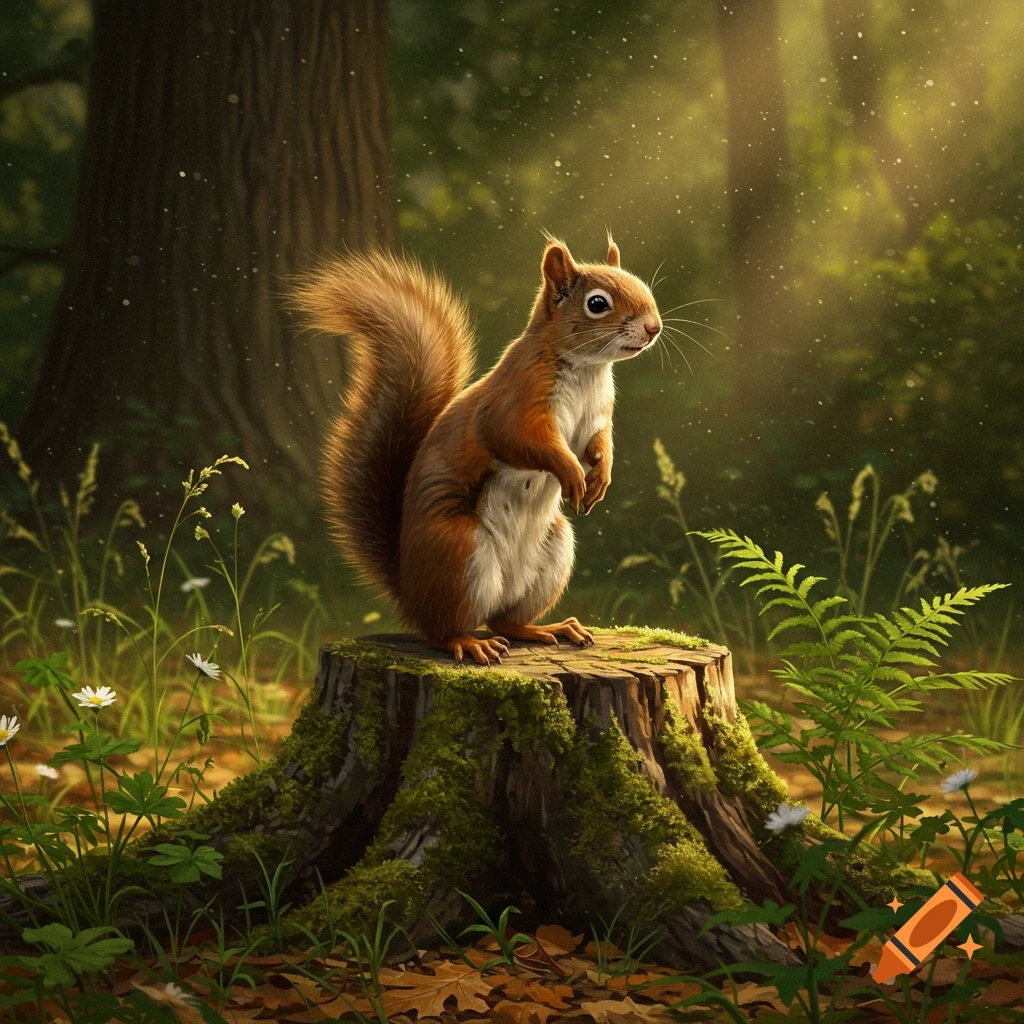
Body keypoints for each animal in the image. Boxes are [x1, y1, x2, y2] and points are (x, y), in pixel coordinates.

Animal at [294, 238, 662, 665]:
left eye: (642, 285)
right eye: (598, 303)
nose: (653, 327)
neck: (587, 369)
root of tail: (408, 591)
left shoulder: (596, 418)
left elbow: (599, 446)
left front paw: (600, 478)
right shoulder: (514, 402)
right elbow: (523, 441)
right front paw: (572, 473)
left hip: (552, 554)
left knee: (505, 620)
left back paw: (548, 628)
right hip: (459, 554)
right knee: (442, 630)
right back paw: (470, 643)